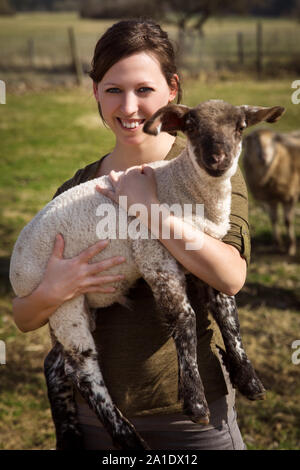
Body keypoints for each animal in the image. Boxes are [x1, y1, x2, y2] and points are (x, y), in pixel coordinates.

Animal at [8, 99, 282, 448]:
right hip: (60, 299)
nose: (218, 160)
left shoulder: (209, 257)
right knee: (82, 370)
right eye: (192, 126)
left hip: (73, 306)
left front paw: (249, 381)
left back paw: (70, 434)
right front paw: (195, 403)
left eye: (241, 126)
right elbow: (185, 319)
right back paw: (127, 437)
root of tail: (16, 268)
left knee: (55, 364)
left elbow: (227, 312)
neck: (181, 186)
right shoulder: (153, 254)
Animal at [243, 126, 298, 255]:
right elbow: (273, 219)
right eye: (255, 140)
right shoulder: (270, 199)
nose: (263, 156)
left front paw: (291, 247)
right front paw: (277, 244)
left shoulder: (290, 196)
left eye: (273, 140)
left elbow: (288, 221)